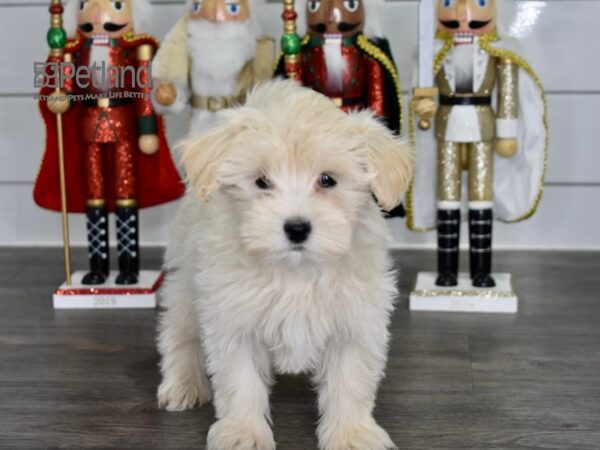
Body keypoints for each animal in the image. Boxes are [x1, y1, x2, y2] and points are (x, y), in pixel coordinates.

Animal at [157, 80, 414, 450]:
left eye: (327, 180)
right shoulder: (235, 319)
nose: (296, 228)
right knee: (179, 332)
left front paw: (352, 434)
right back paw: (182, 383)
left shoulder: (354, 321)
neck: (297, 270)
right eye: (262, 181)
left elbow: (350, 381)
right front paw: (244, 434)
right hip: (189, 281)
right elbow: (241, 381)